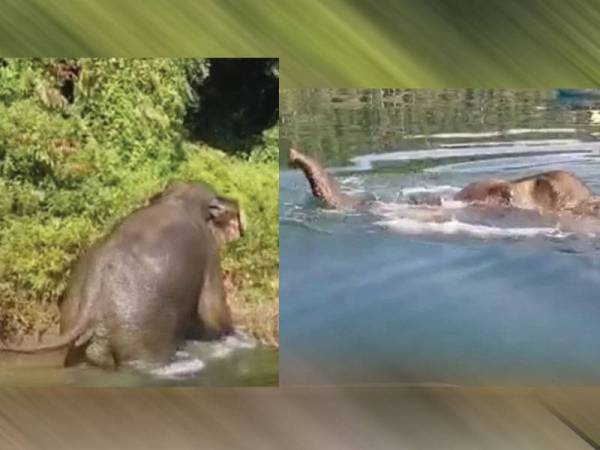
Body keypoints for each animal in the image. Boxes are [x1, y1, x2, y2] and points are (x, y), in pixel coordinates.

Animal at [0, 180, 244, 370]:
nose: (236, 202)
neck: (180, 197)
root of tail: (92, 291)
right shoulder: (209, 254)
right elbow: (213, 310)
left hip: (78, 324)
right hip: (141, 332)